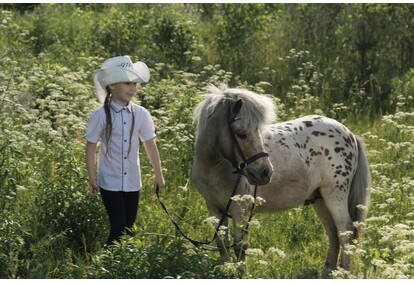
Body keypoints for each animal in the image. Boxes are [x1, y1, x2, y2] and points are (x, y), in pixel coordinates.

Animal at [192, 85, 370, 274]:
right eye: (241, 134)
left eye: (258, 131)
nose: (265, 172)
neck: (216, 167)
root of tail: (349, 133)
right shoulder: (214, 209)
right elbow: (222, 243)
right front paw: (226, 272)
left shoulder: (239, 209)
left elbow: (240, 246)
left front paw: (242, 274)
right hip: (320, 199)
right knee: (332, 231)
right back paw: (329, 271)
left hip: (335, 196)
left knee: (345, 230)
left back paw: (344, 272)